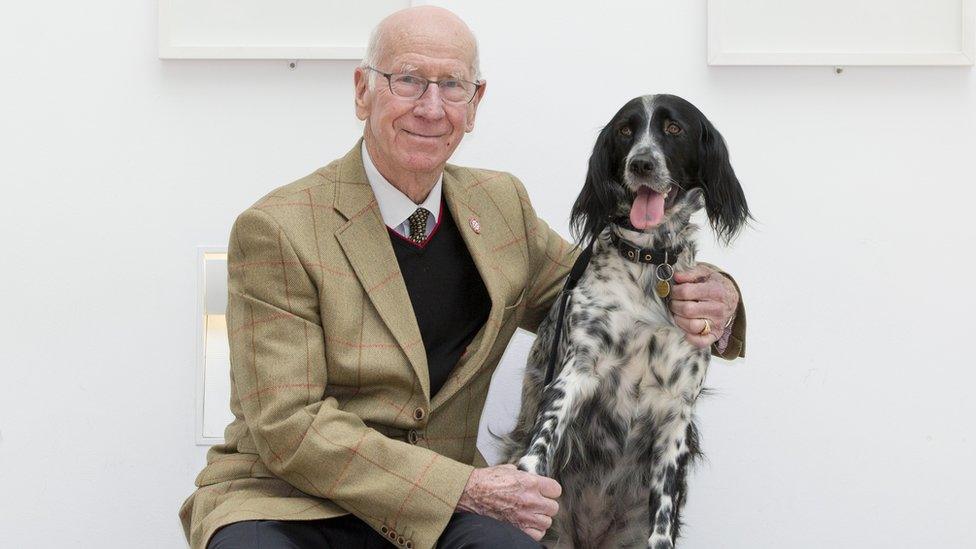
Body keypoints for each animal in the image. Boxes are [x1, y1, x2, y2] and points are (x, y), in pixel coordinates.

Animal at [500, 95, 752, 548]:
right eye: (625, 131)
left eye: (674, 129)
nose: (641, 164)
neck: (650, 263)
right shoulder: (578, 369)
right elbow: (543, 438)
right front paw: (523, 486)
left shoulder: (676, 409)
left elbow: (662, 520)